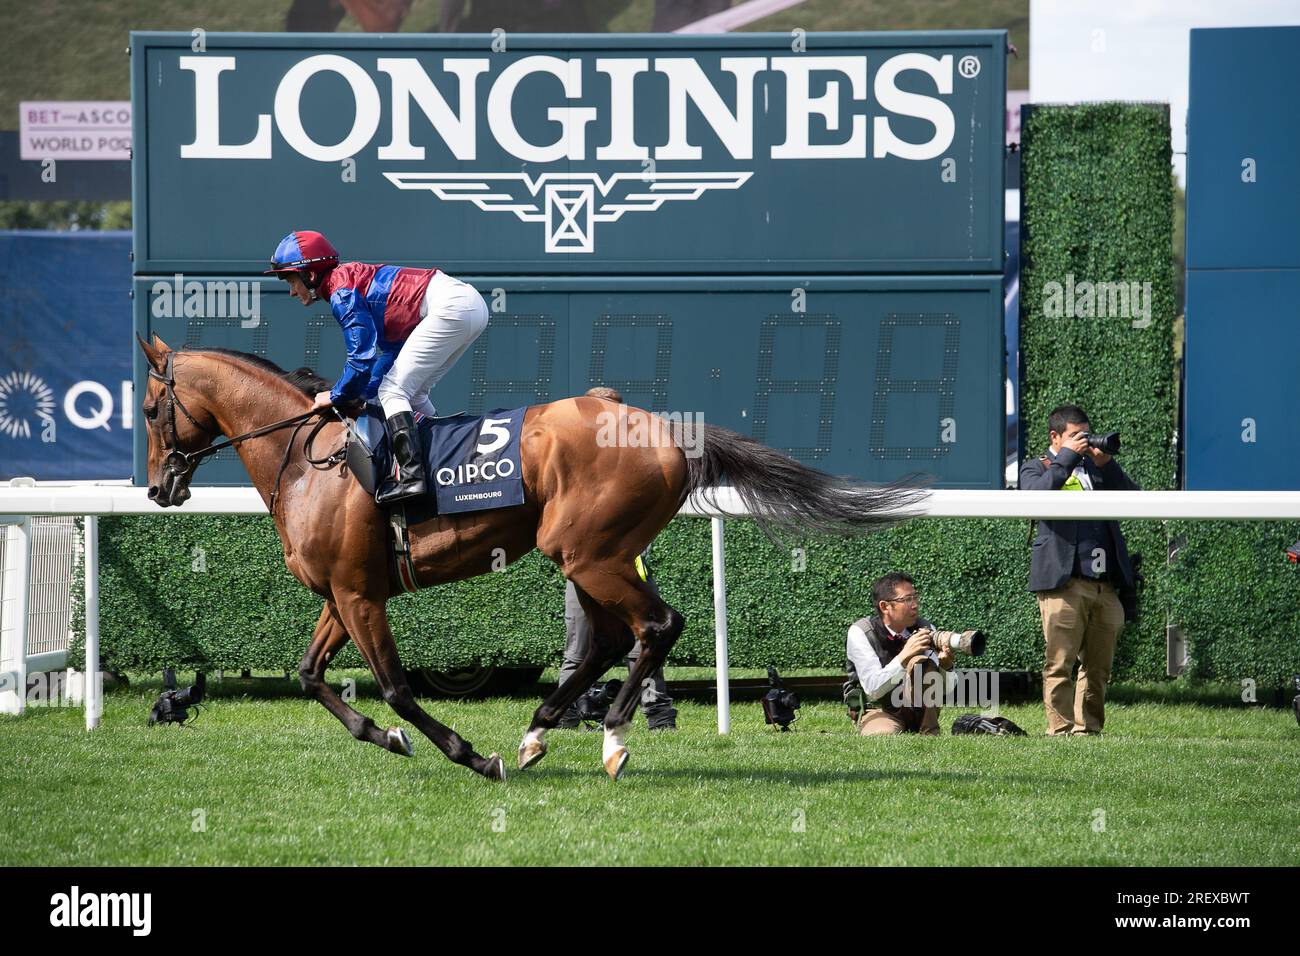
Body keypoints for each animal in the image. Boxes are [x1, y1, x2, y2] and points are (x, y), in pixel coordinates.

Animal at [134, 335, 925, 780]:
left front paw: (465, 754)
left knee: (655, 627)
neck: (307, 461)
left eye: (148, 410)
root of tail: (666, 429)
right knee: (608, 640)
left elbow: (395, 686)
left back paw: (609, 738)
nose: (158, 487)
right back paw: (539, 730)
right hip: (591, 555)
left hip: (589, 551)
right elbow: (308, 674)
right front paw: (385, 738)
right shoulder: (346, 592)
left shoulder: (360, 594)